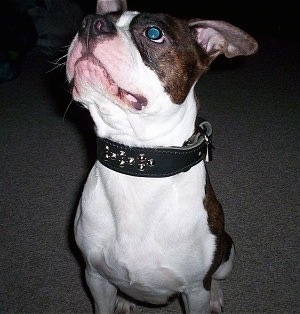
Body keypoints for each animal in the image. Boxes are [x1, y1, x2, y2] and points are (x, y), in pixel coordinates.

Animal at [65, 1, 258, 312]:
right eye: (99, 18)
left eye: (154, 33)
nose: (90, 23)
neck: (139, 162)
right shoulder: (95, 277)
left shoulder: (194, 290)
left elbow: (203, 287)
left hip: (228, 255)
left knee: (216, 278)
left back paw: (216, 296)